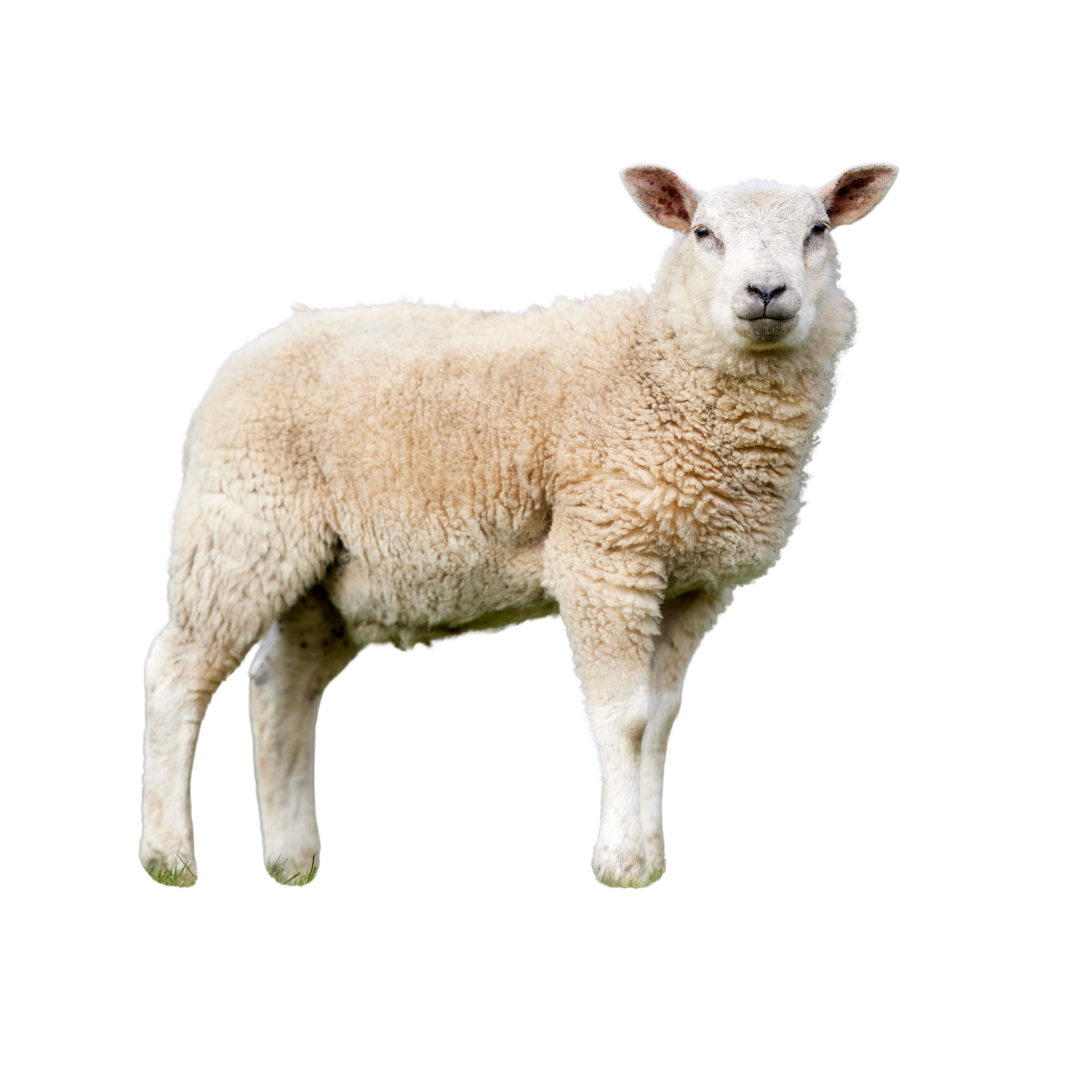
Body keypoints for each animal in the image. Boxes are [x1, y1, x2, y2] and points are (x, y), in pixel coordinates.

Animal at [140, 159, 899, 889]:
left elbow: (660, 721)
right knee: (176, 674)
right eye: (704, 232)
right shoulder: (605, 557)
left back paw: (291, 858)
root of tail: (250, 347)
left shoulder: (692, 584)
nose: (767, 291)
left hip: (329, 581)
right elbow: (623, 719)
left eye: (819, 231)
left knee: (281, 690)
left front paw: (650, 854)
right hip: (241, 527)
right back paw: (170, 856)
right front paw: (620, 862)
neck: (658, 363)